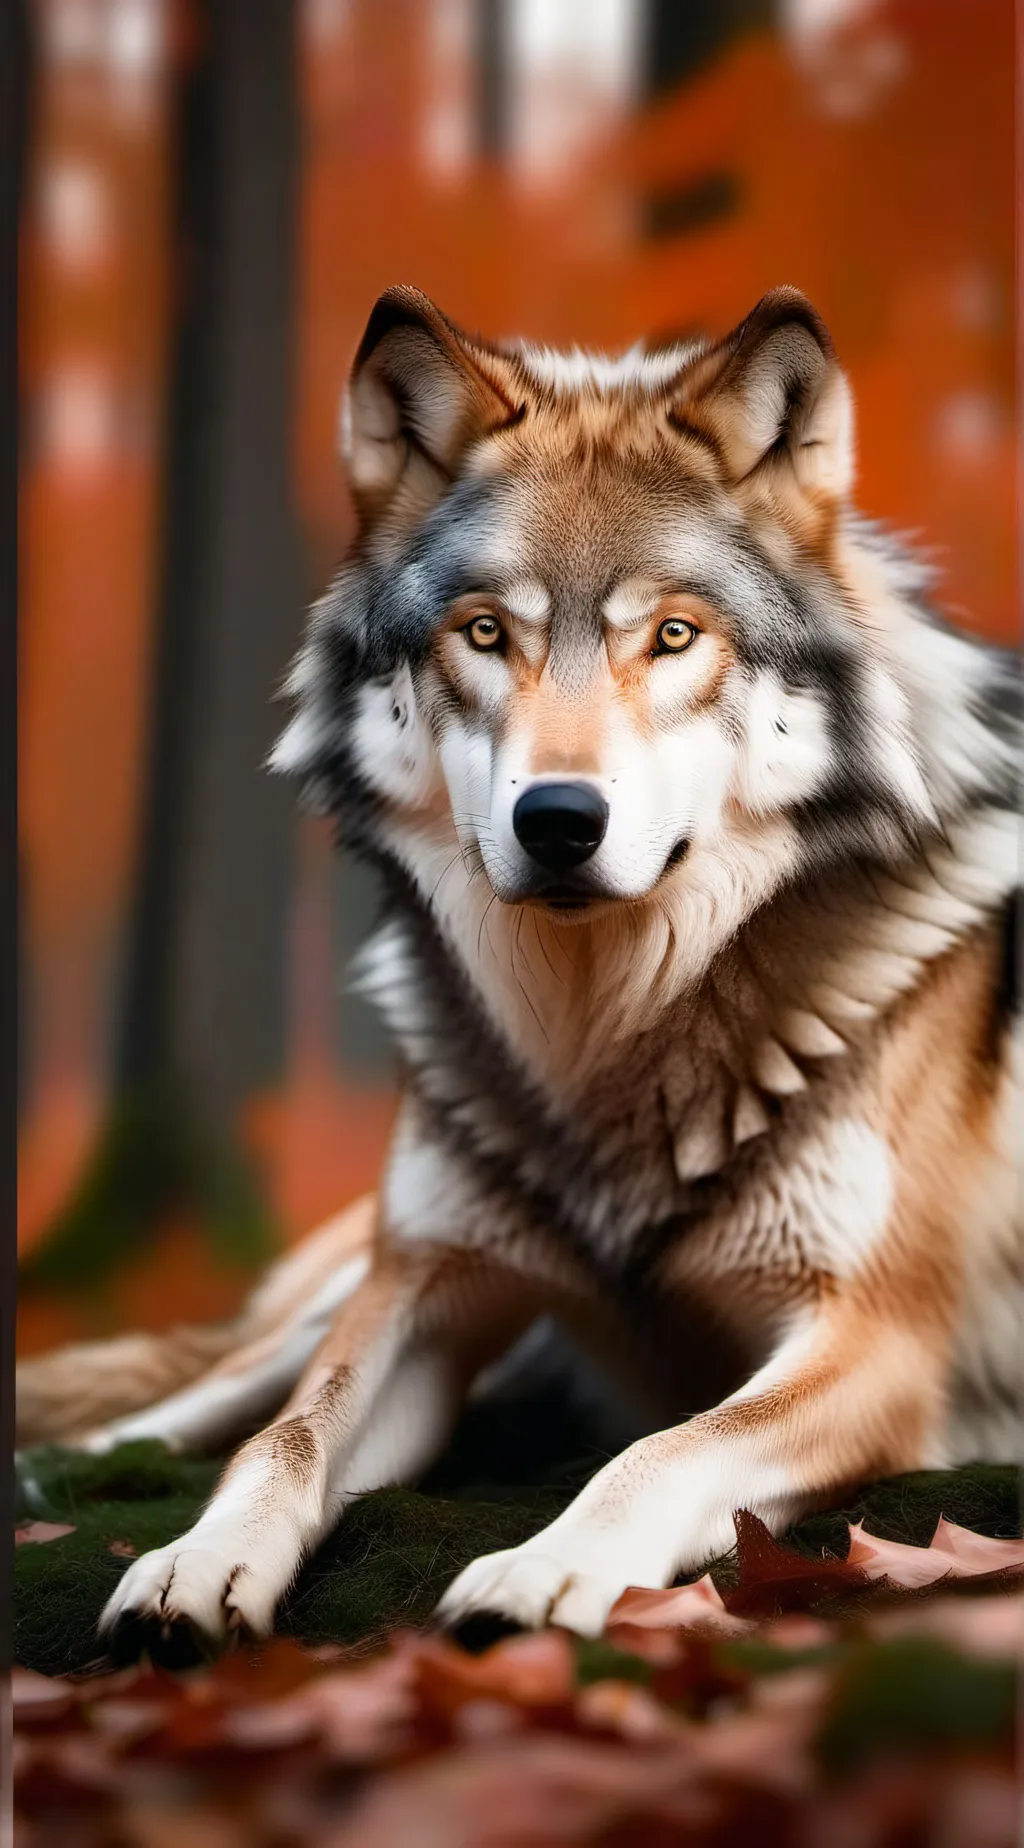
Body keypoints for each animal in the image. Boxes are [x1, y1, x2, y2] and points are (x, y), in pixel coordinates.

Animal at [18, 286, 1020, 1664]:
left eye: (672, 637)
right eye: (486, 633)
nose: (557, 820)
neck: (599, 1037)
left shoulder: (877, 1339)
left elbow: (664, 1448)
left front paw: (544, 1570)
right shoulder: (423, 1284)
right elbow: (285, 1441)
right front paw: (193, 1563)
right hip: (349, 1271)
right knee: (201, 1395)